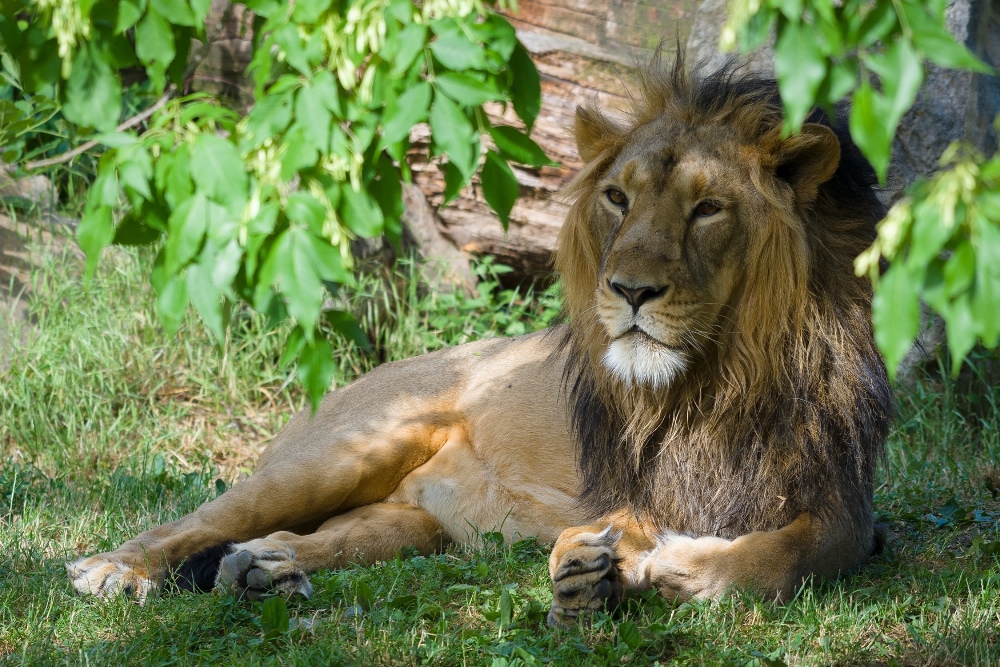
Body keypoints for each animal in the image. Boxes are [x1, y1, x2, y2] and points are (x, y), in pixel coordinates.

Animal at [64, 53, 892, 628]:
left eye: (709, 208)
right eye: (617, 198)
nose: (628, 290)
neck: (723, 375)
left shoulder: (842, 499)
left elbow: (788, 552)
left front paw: (682, 566)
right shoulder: (625, 489)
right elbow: (667, 537)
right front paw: (628, 564)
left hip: (408, 521)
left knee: (314, 536)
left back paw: (261, 569)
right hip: (337, 451)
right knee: (200, 519)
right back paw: (115, 569)